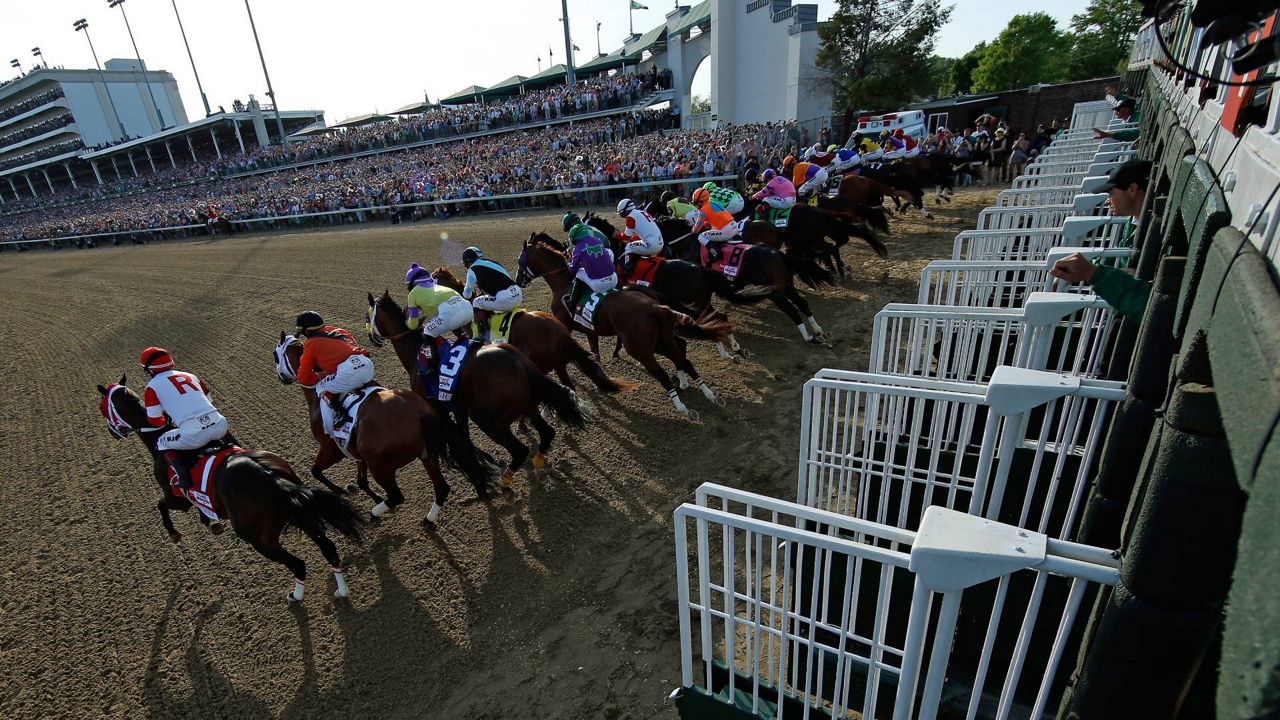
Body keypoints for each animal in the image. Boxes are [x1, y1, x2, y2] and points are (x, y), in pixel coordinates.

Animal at [96, 376, 360, 599]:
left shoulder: (176, 497)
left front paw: (175, 532)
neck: (157, 440)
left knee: (298, 564)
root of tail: (270, 476)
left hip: (259, 538)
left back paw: (296, 596)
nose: (112, 432)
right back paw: (341, 591)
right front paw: (209, 521)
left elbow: (160, 504)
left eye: (102, 408)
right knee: (329, 548)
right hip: (302, 516)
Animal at [272, 330, 491, 520]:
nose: (281, 378)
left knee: (396, 496)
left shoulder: (330, 450)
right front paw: (367, 494)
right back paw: (428, 518)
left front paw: (340, 490)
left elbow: (315, 471)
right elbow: (361, 481)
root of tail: (417, 412)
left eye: (275, 355)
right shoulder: (353, 448)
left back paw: (375, 513)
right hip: (426, 454)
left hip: (381, 466)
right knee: (442, 488)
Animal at [366, 289, 586, 486]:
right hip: (528, 406)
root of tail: (519, 363)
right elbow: (464, 434)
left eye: (368, 316)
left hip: (490, 421)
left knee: (520, 450)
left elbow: (460, 437)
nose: (371, 340)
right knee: (547, 433)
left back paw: (506, 481)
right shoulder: (459, 408)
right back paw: (538, 463)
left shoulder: (439, 409)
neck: (416, 354)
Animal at [509, 233, 732, 417]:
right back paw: (707, 392)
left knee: (662, 372)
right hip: (661, 340)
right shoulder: (589, 330)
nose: (518, 281)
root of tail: (654, 306)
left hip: (639, 347)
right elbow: (594, 353)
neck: (563, 282)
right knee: (684, 359)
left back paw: (682, 406)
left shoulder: (566, 326)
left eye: (521, 260)